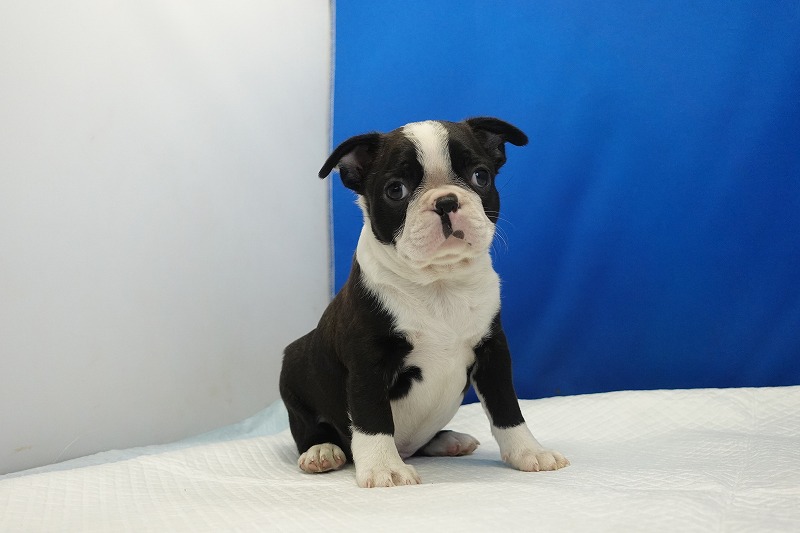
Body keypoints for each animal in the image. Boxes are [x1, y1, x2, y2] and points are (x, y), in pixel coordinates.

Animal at [279, 117, 569, 488]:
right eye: (395, 190)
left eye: (480, 176)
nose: (446, 201)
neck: (439, 283)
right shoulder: (367, 360)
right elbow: (372, 416)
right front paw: (384, 468)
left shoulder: (493, 351)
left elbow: (506, 406)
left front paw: (528, 451)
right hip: (293, 367)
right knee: (310, 430)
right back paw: (322, 451)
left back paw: (448, 440)